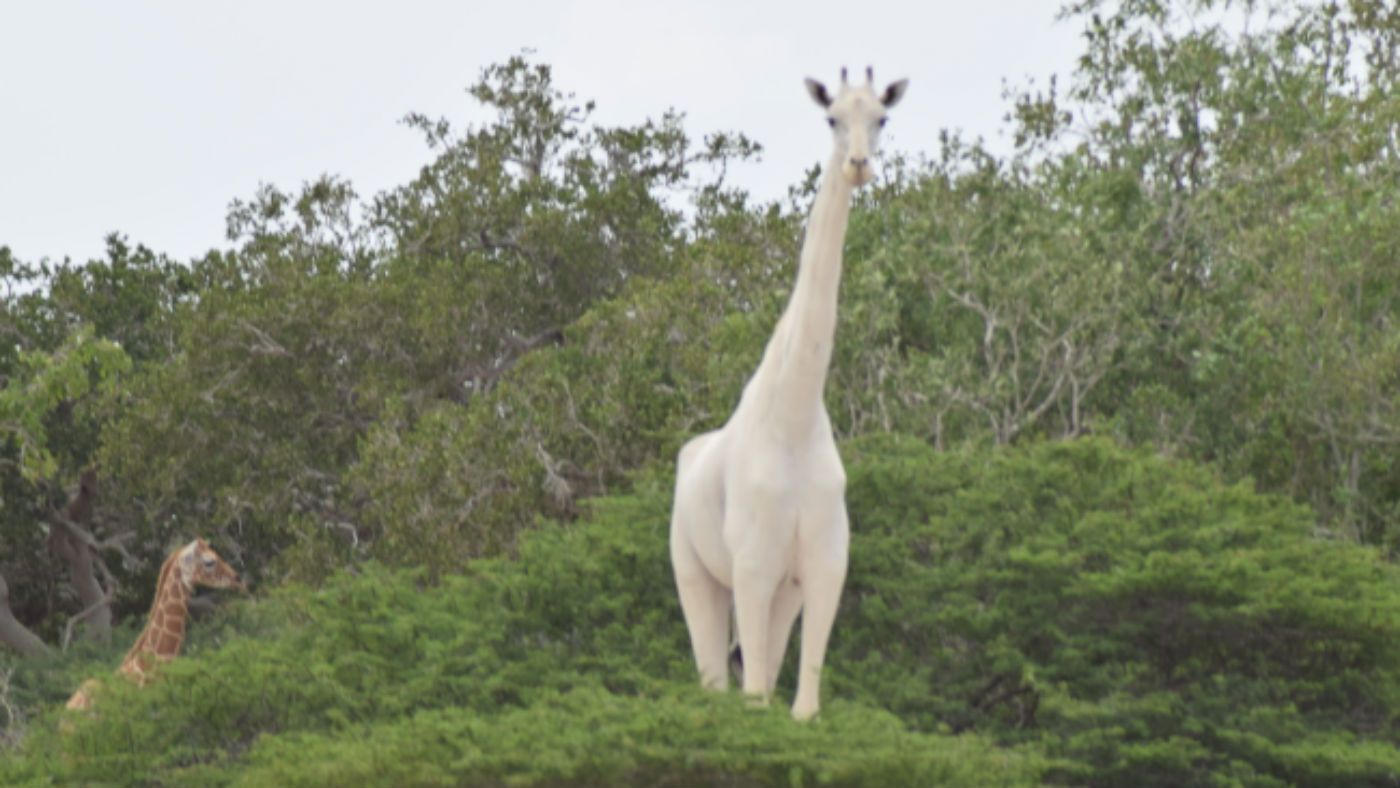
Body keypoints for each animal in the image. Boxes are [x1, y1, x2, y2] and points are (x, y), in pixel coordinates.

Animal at [669, 67, 908, 721]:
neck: (795, 418)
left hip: (781, 593)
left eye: (881, 117)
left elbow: (801, 707)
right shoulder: (752, 567)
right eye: (831, 118)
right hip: (696, 572)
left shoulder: (823, 569)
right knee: (714, 679)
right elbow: (754, 699)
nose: (857, 165)